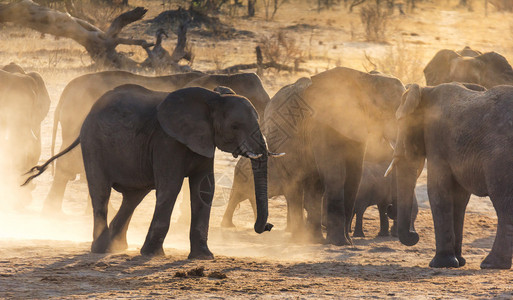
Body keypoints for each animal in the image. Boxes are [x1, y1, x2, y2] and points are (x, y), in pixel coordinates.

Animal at [25, 85, 272, 260]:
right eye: (235, 126)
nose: (267, 227)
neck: (213, 98)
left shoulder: (203, 141)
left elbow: (204, 191)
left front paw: (203, 257)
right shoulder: (168, 141)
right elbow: (170, 187)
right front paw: (152, 254)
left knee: (133, 198)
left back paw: (116, 247)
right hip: (93, 144)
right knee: (101, 193)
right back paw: (100, 248)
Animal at [388, 82, 512, 270]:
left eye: (400, 122)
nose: (414, 235)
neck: (426, 90)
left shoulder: (436, 138)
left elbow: (437, 189)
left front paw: (440, 263)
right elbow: (459, 197)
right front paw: (458, 262)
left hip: (500, 157)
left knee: (503, 202)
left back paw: (491, 263)